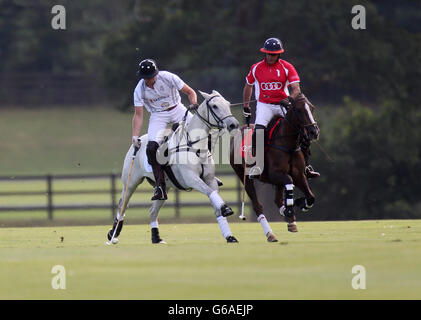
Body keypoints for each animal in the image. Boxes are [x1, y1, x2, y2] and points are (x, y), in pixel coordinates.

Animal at [106, 91, 240, 244]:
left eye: (228, 104)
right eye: (215, 106)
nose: (234, 124)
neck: (195, 146)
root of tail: (139, 141)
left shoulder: (210, 179)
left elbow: (215, 200)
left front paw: (229, 235)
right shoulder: (192, 179)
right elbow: (210, 193)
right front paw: (226, 208)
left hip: (165, 187)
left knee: (153, 210)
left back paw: (156, 237)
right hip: (131, 182)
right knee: (122, 205)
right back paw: (113, 233)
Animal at [230, 92, 318, 240]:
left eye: (311, 108)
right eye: (298, 110)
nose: (314, 131)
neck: (288, 143)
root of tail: (240, 130)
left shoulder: (298, 175)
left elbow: (311, 197)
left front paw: (298, 204)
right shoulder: (274, 174)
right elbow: (289, 181)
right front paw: (293, 207)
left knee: (278, 200)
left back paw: (289, 218)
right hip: (243, 176)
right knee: (258, 205)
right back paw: (270, 234)